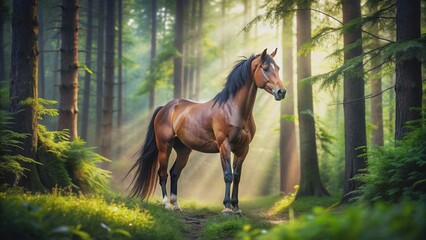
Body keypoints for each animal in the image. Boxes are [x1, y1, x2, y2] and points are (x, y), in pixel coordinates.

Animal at [126, 47, 286, 215]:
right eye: (265, 68)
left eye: (278, 68)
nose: (281, 92)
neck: (233, 110)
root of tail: (166, 107)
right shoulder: (224, 145)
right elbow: (228, 175)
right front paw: (227, 208)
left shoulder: (243, 148)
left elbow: (237, 176)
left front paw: (236, 208)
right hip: (164, 147)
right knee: (162, 173)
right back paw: (167, 204)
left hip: (183, 150)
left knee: (175, 173)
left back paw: (176, 205)